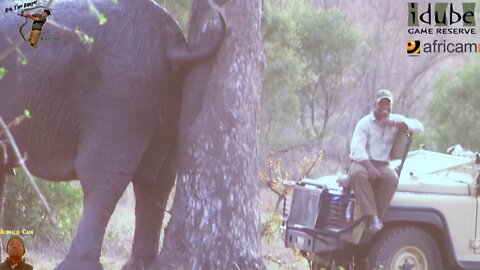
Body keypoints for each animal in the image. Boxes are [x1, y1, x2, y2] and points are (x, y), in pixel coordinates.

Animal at [0, 1, 225, 268]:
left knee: (104, 178)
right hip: (164, 97)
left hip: (119, 97)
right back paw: (139, 264)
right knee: (155, 182)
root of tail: (171, 44)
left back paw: (76, 264)